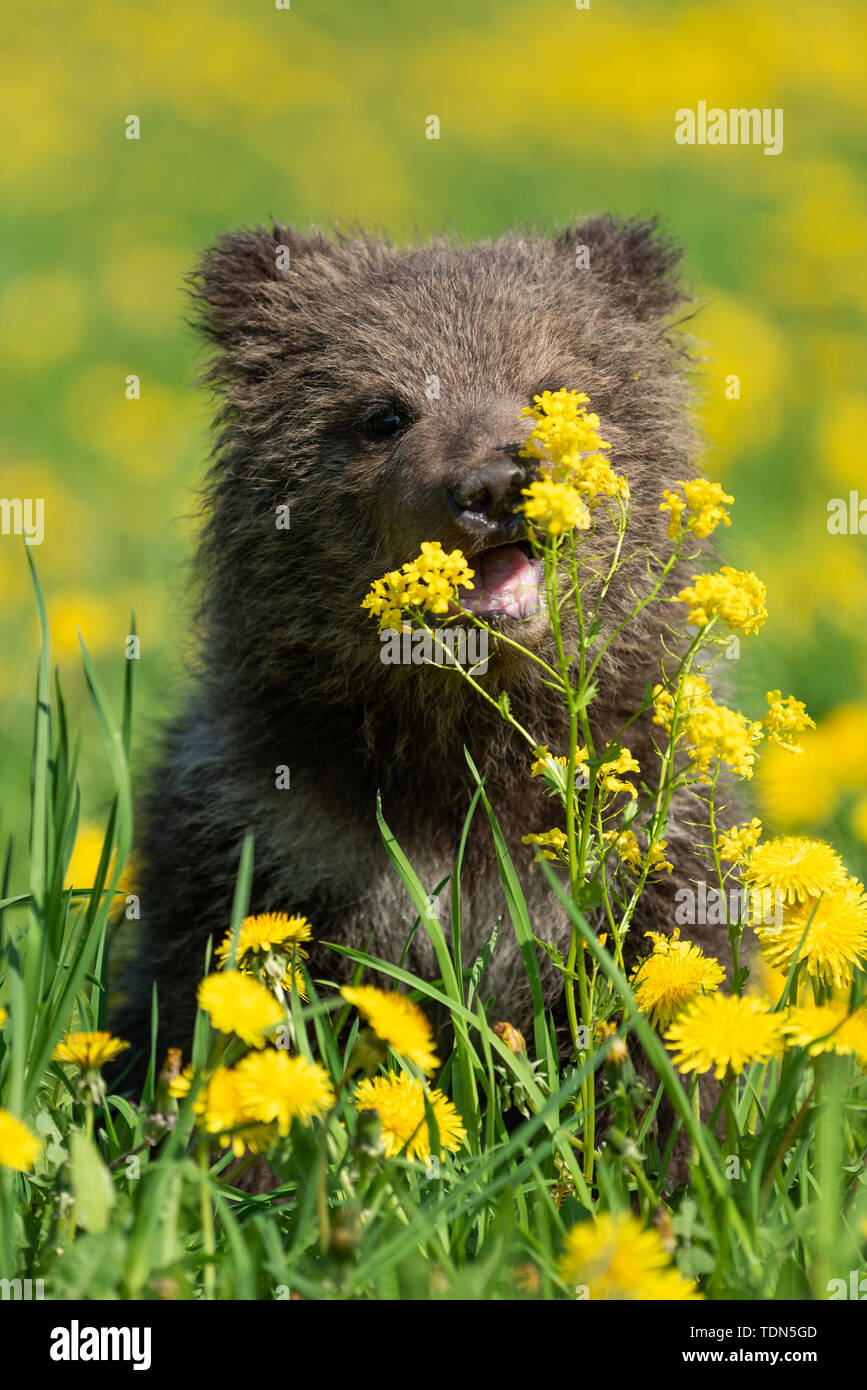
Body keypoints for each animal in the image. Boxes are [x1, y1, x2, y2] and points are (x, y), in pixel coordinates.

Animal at [113, 215, 725, 1084]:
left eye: (551, 391)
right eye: (383, 414)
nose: (494, 483)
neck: (456, 743)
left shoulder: (644, 843)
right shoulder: (266, 829)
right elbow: (202, 996)